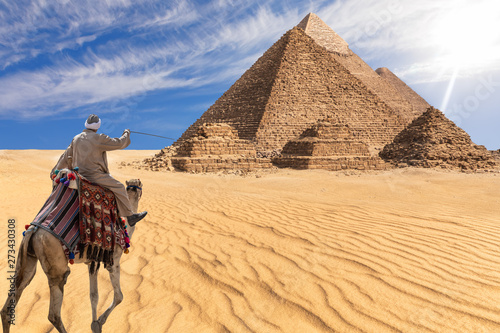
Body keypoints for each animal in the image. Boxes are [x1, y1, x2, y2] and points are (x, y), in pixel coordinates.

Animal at [0, 178, 145, 330]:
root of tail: (32, 231)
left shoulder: (93, 262)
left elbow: (94, 296)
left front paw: (95, 325)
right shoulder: (114, 260)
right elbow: (119, 296)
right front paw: (100, 321)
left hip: (27, 259)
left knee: (15, 295)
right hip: (56, 267)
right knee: (54, 314)